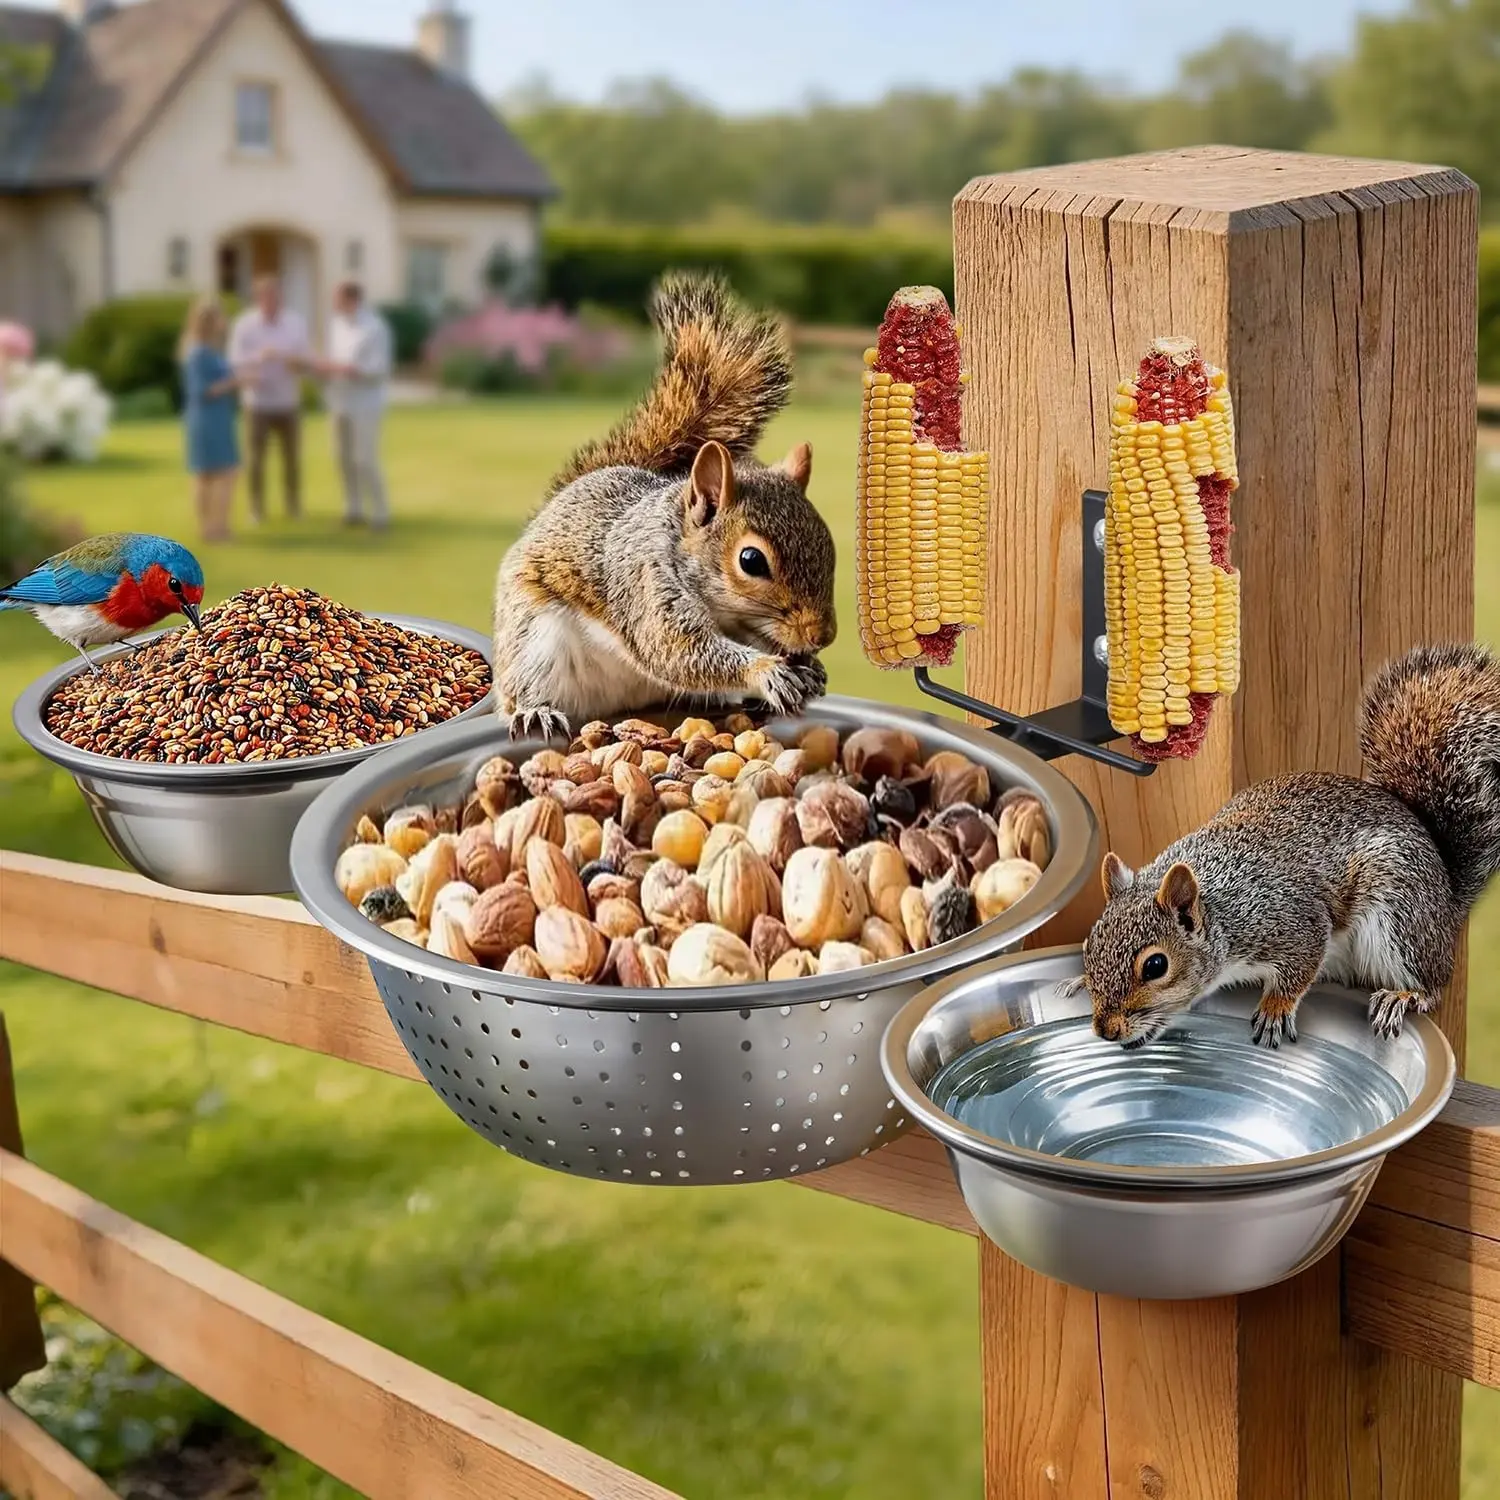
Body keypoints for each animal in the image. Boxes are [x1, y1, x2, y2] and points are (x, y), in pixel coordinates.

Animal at [492, 271, 837, 739]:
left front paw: (810, 669)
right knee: (522, 687)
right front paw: (767, 672)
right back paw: (534, 711)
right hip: (532, 639)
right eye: (751, 561)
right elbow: (681, 652)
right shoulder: (647, 589)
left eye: (829, 546)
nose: (821, 636)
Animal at [1073, 642, 1500, 1051]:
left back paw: (1404, 996)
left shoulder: (1292, 921)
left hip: (1401, 915)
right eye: (1089, 947)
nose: (1105, 1030)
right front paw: (1077, 982)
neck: (1220, 909)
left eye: (1155, 966)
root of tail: (1446, 895)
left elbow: (1300, 967)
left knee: (1430, 983)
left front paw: (1275, 1009)